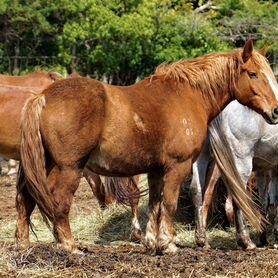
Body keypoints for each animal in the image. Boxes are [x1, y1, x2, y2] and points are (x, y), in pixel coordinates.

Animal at [18, 40, 278, 255]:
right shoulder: (177, 166)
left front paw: (153, 243)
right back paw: (70, 246)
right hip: (70, 169)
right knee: (60, 202)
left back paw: (26, 244)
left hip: (45, 167)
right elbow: (169, 204)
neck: (187, 95)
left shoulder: (155, 171)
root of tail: (43, 96)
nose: (276, 111)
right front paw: (169, 244)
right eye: (253, 74)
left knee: (26, 199)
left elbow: (155, 204)